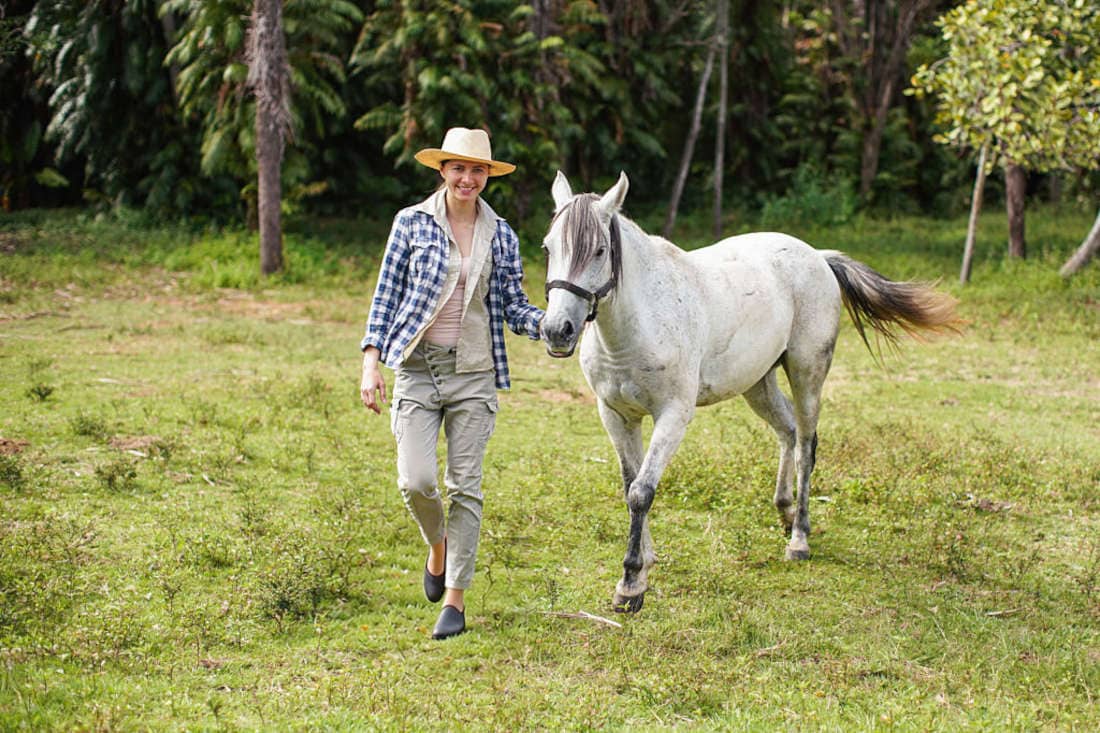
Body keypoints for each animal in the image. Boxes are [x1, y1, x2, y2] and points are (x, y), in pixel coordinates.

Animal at [539, 171, 960, 613]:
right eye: (548, 247)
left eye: (600, 250)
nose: (557, 331)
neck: (640, 321)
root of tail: (817, 257)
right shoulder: (615, 415)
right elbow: (630, 486)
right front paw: (646, 562)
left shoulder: (673, 416)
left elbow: (642, 492)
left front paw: (631, 584)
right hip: (758, 384)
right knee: (788, 433)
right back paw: (785, 512)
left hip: (807, 375)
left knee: (806, 444)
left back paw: (799, 538)